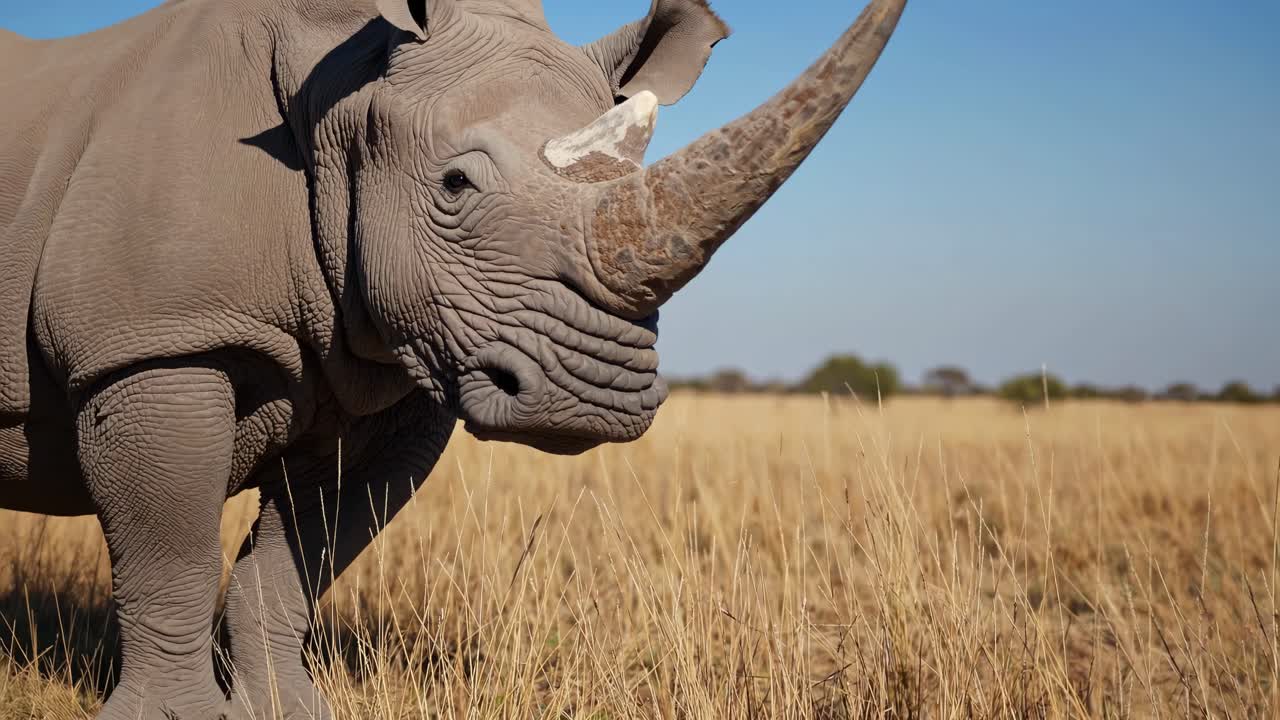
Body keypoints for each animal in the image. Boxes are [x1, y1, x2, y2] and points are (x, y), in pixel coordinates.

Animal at [0, 0, 906, 716]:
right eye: (456, 185)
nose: (597, 397)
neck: (344, 97)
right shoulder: (153, 343)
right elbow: (172, 554)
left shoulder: (402, 377)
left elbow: (301, 560)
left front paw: (288, 709)